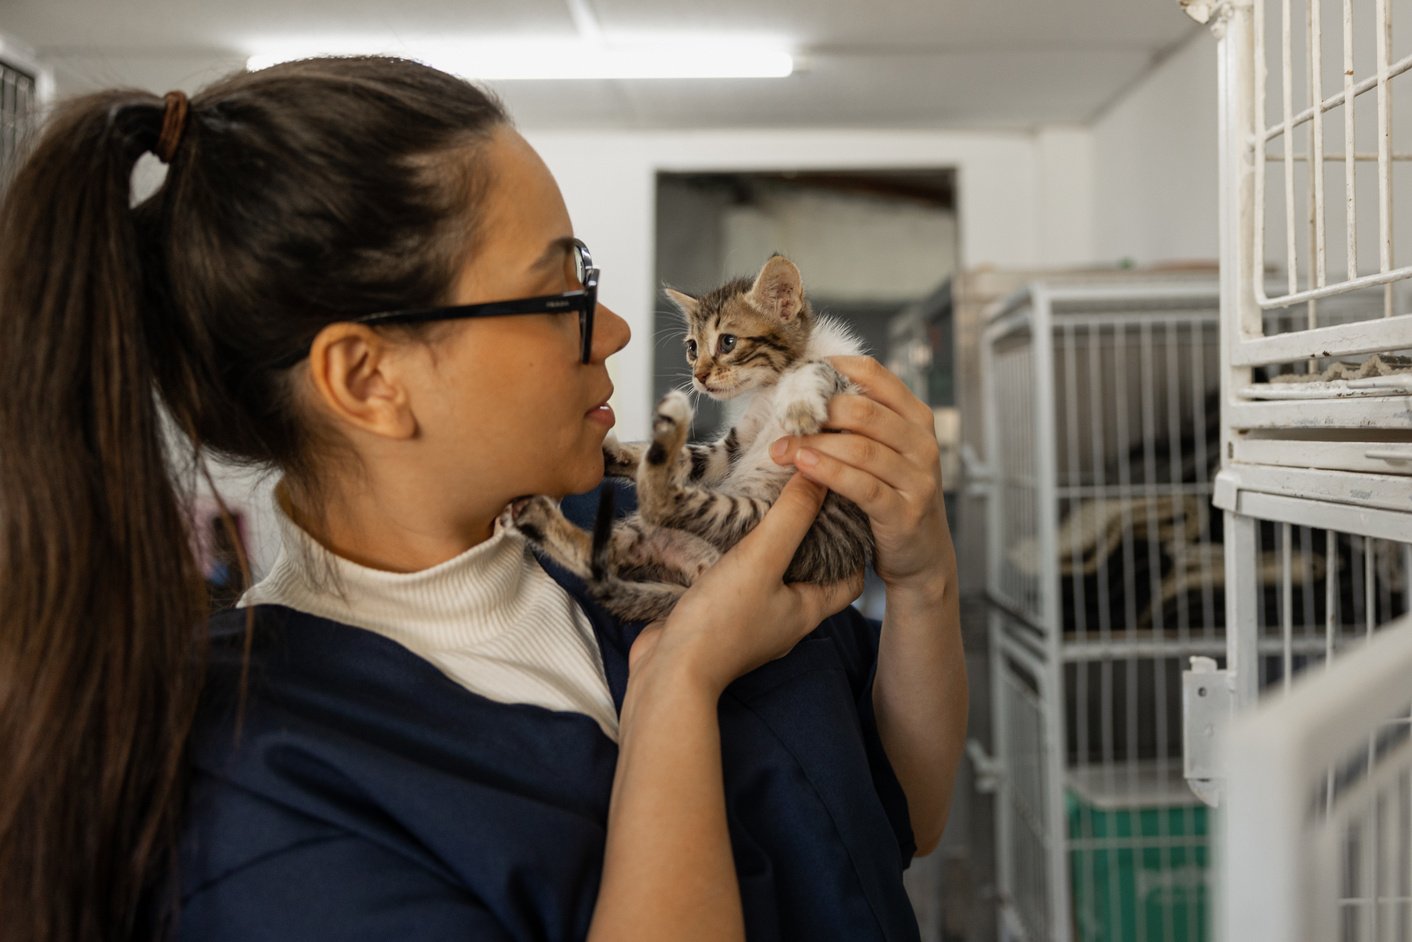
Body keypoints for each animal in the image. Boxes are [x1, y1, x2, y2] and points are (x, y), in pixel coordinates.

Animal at [508, 258, 869, 621]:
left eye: (727, 342)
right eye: (692, 348)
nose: (699, 376)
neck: (769, 385)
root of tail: (698, 568)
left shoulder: (845, 391)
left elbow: (816, 368)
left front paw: (799, 406)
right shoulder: (731, 449)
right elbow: (690, 459)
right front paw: (614, 454)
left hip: (753, 516)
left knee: (660, 505)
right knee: (600, 552)